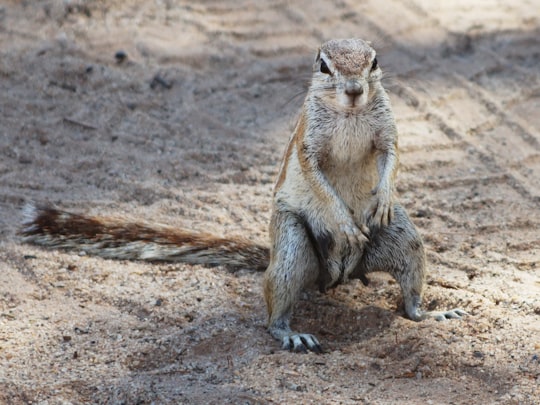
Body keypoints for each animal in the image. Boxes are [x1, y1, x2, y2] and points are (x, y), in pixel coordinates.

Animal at [21, 39, 466, 352]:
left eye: (373, 61)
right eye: (324, 65)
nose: (355, 90)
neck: (351, 114)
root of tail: (336, 277)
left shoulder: (386, 130)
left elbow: (391, 156)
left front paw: (384, 196)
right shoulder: (308, 146)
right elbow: (318, 180)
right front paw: (343, 222)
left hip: (403, 239)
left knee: (409, 299)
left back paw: (432, 313)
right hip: (291, 244)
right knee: (274, 307)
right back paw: (292, 334)